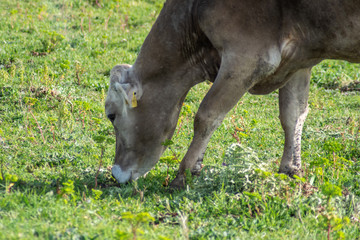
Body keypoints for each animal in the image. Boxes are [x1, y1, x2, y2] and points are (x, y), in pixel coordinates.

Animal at [105, 0, 360, 188]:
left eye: (111, 115)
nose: (116, 173)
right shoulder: (299, 60)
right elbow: (292, 115)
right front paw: (290, 169)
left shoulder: (248, 57)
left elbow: (206, 116)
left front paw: (184, 173)